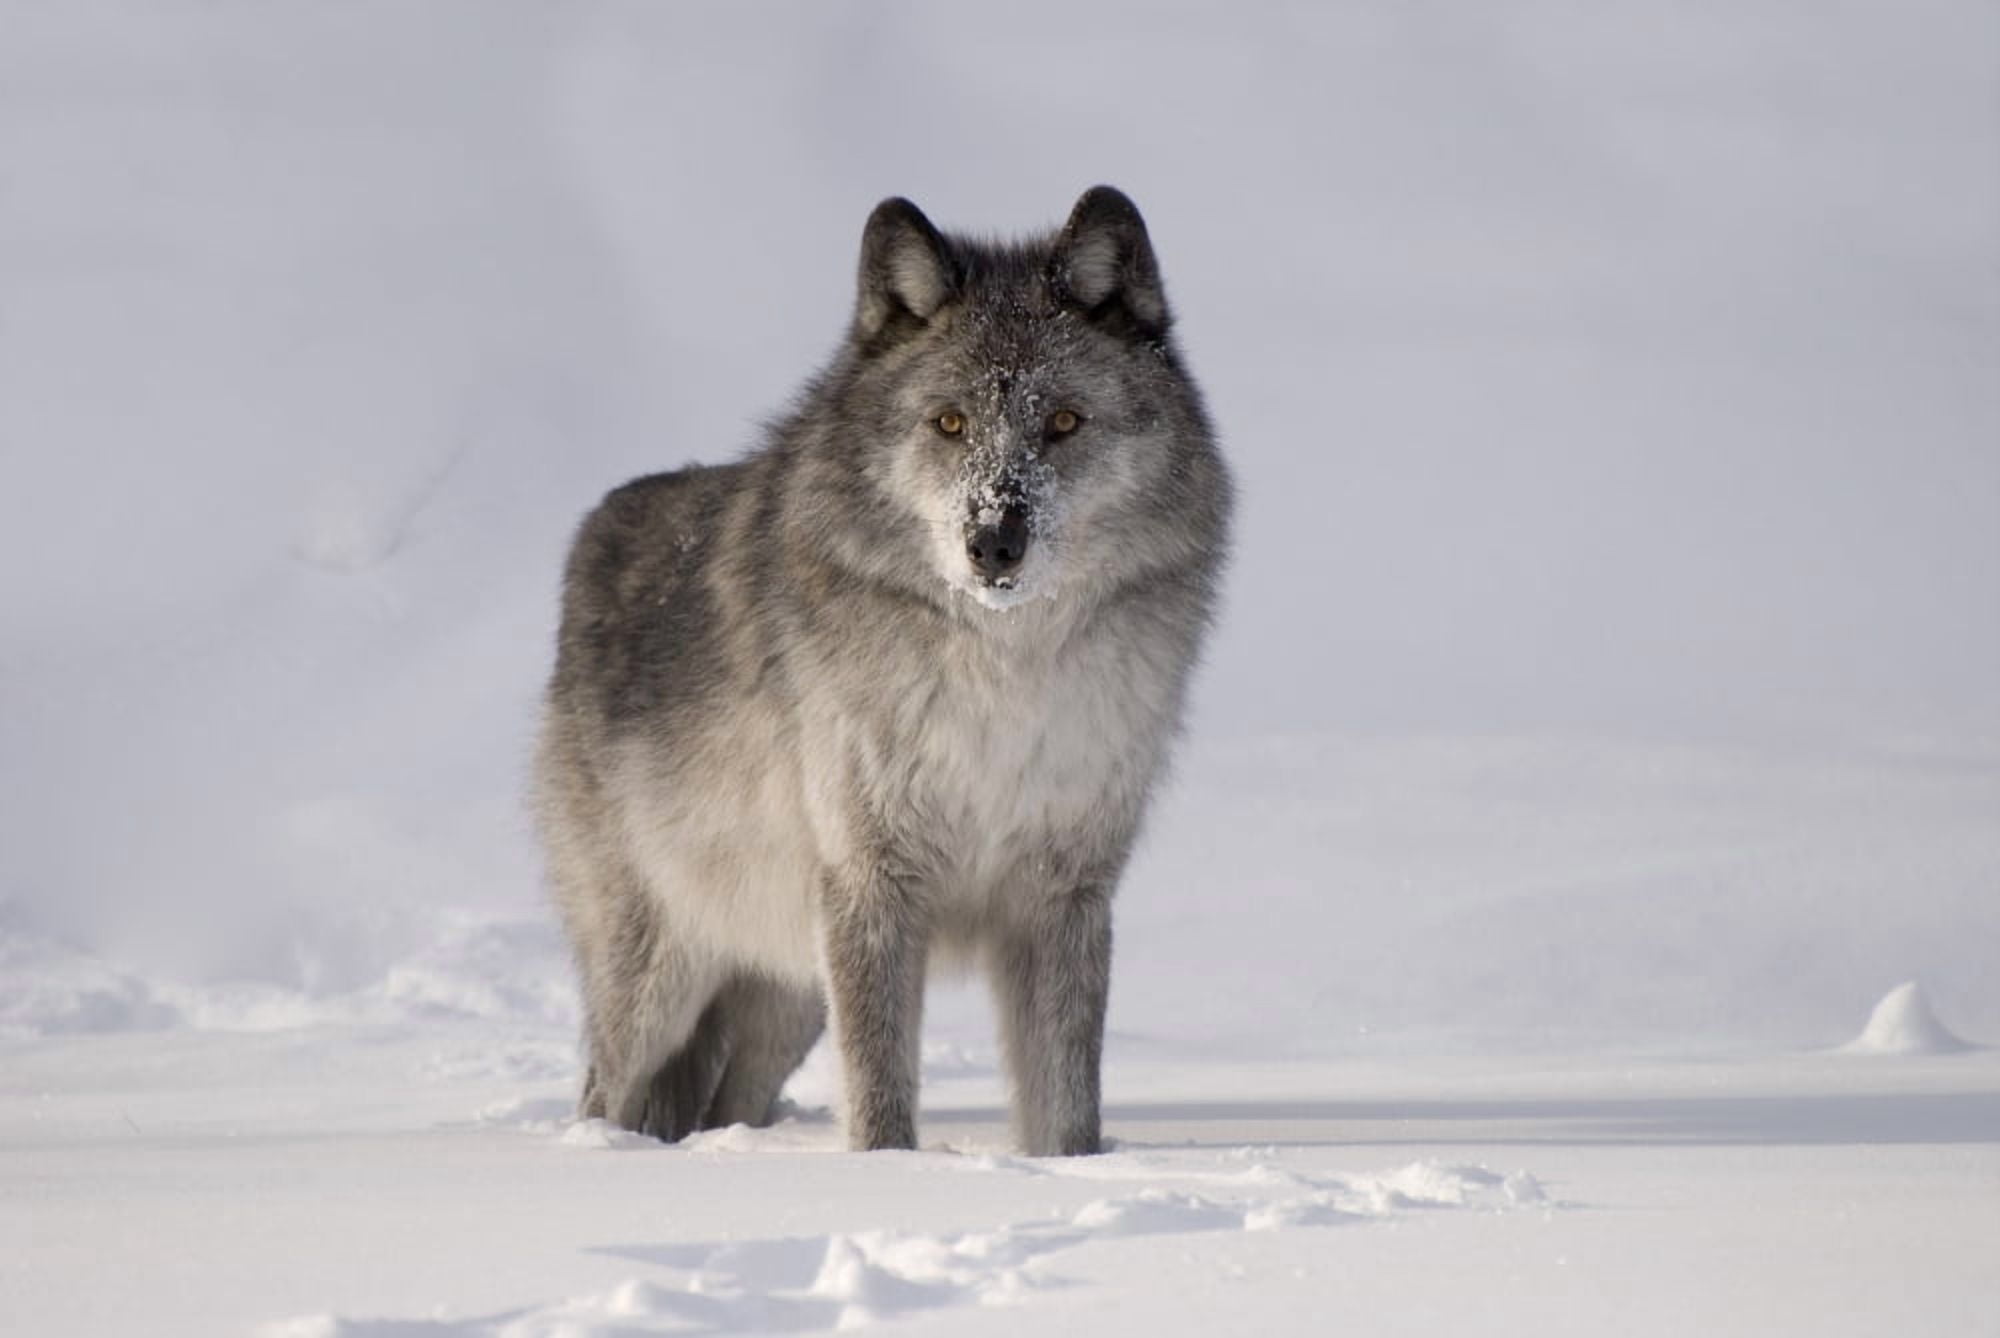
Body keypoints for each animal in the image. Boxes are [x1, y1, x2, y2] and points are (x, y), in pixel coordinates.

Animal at [534, 186, 1231, 1155]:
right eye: (950, 423)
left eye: (1062, 422)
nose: (994, 542)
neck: (1001, 679)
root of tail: (594, 530)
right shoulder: (872, 885)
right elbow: (879, 1088)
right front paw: (888, 1175)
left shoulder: (1063, 894)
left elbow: (1065, 1099)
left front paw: (1070, 1168)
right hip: (663, 975)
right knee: (606, 1090)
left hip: (787, 996)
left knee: (727, 1100)